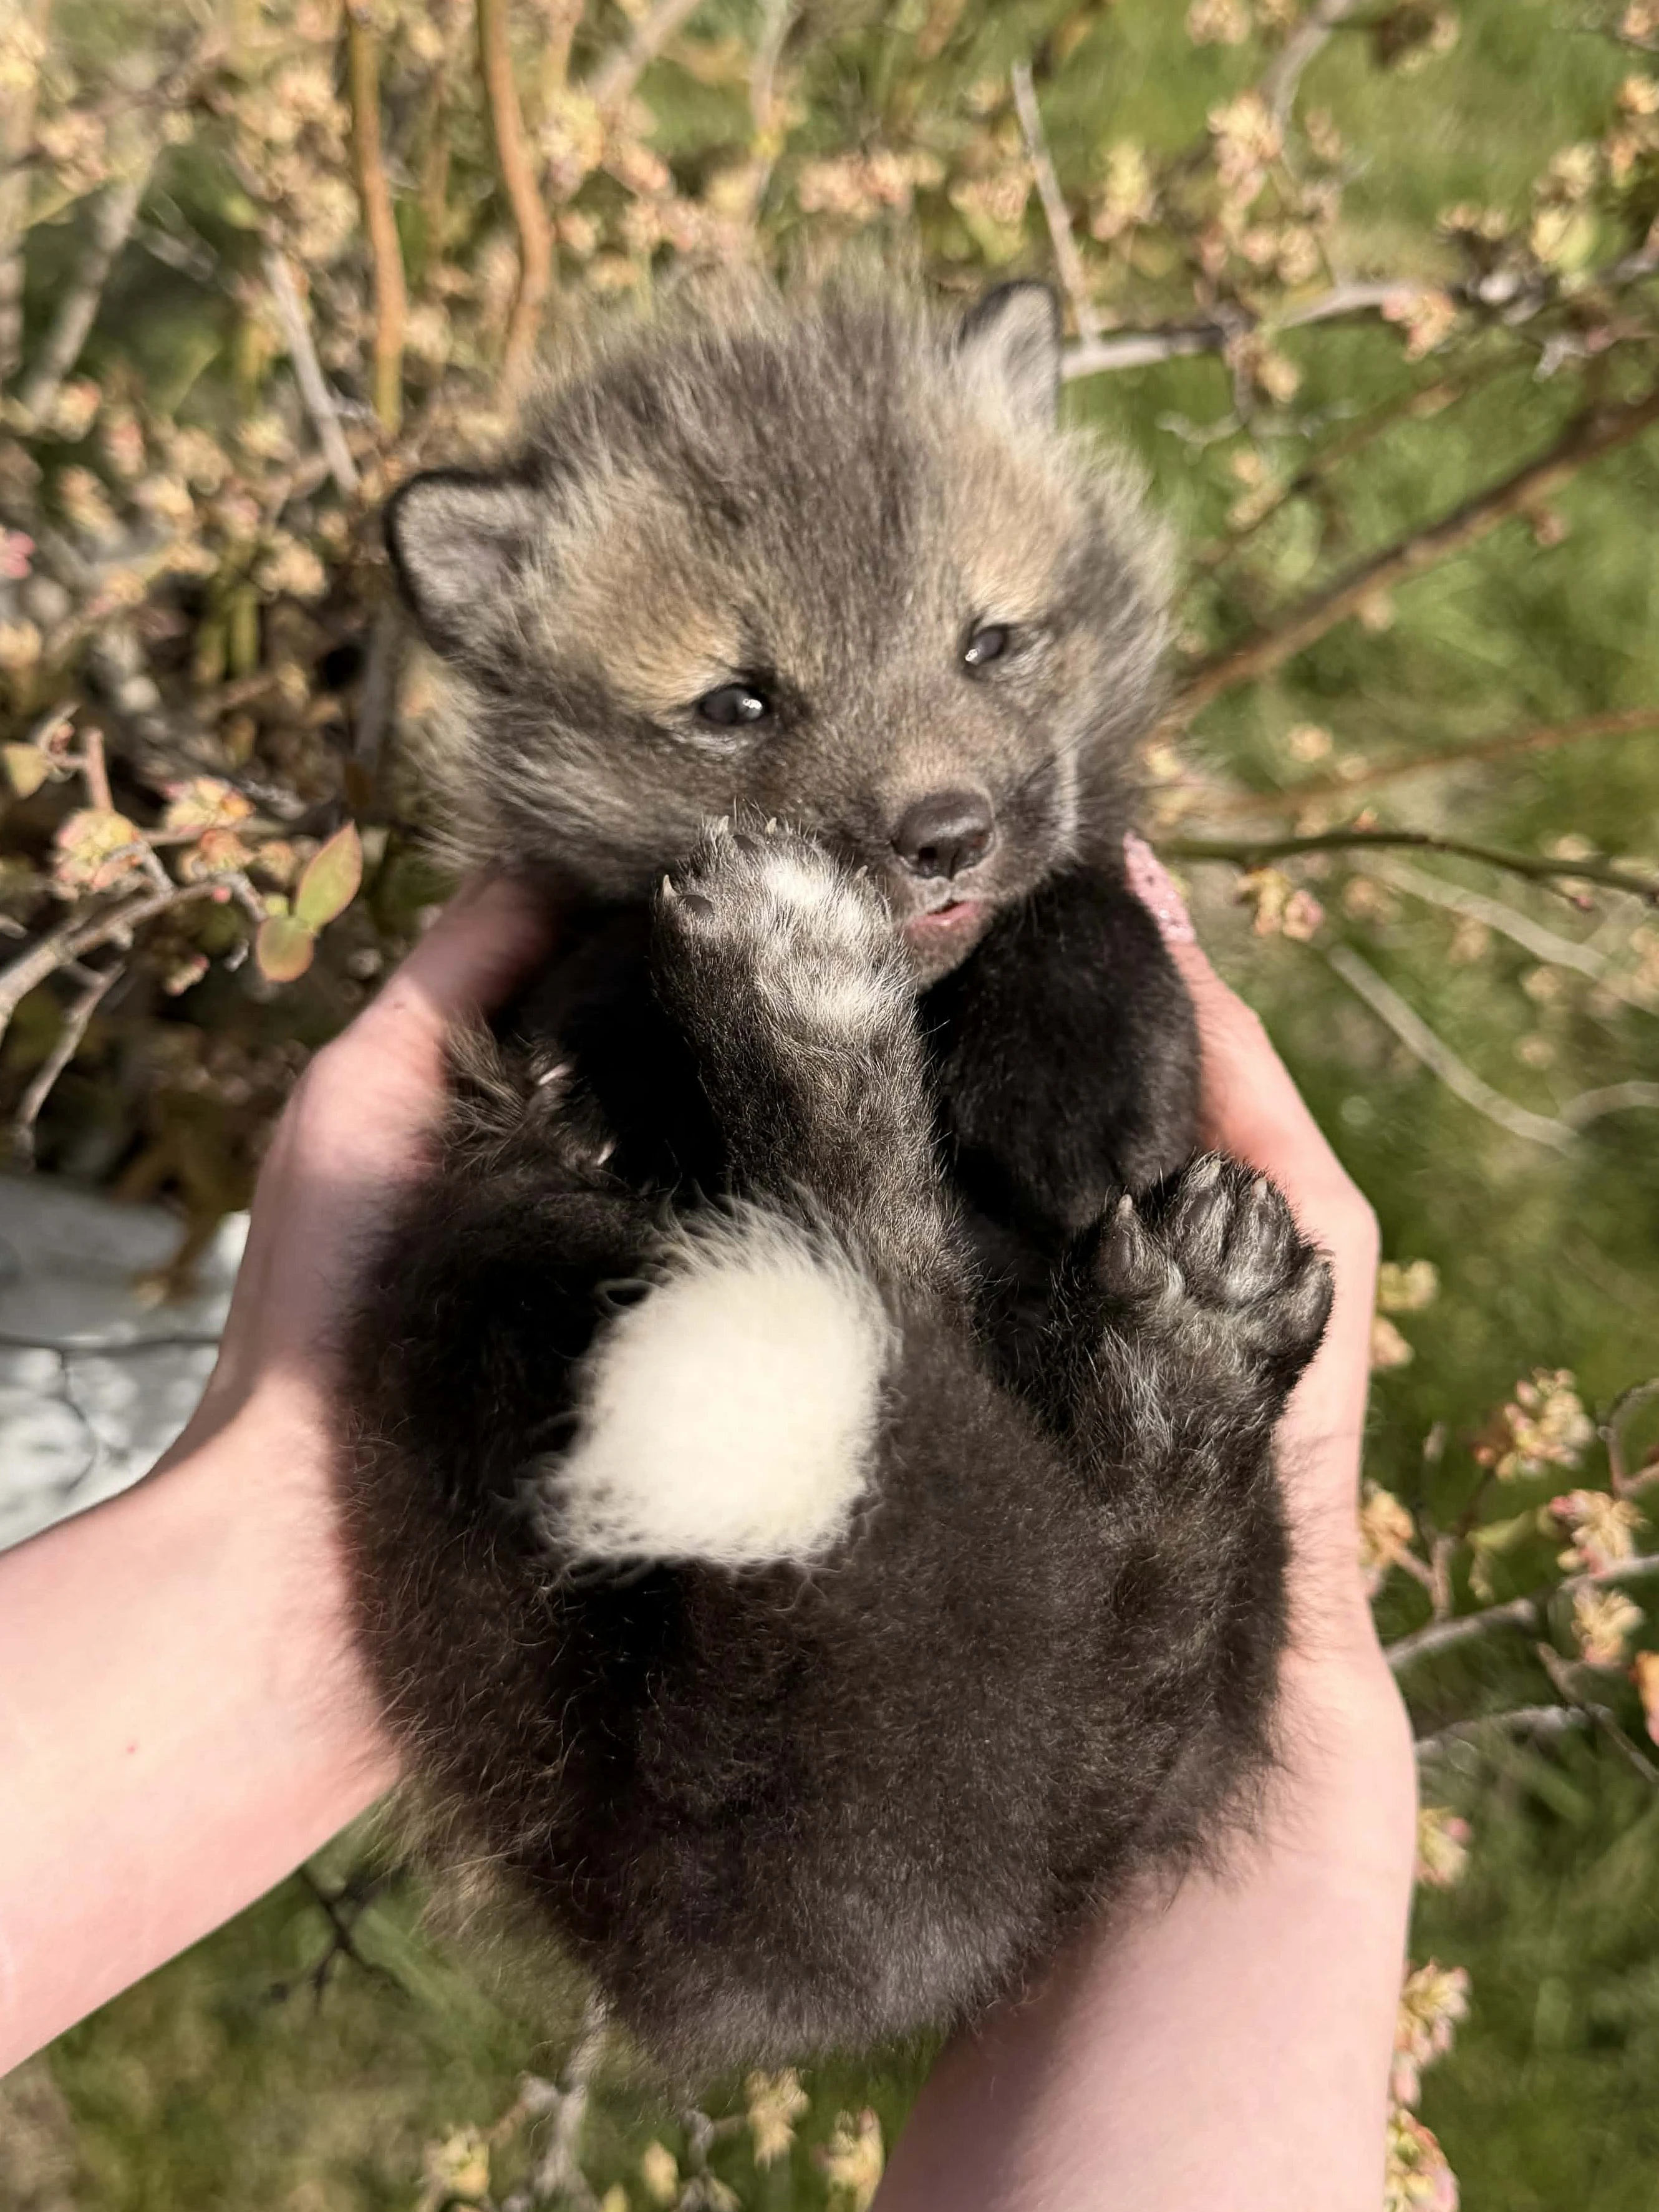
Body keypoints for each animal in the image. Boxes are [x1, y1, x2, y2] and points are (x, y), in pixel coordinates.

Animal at [339, 275, 1333, 2076]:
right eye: (737, 702)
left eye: (989, 641)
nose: (941, 833)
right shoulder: (552, 971)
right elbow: (605, 980)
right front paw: (641, 1054)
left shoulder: (1082, 880)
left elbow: (1089, 898)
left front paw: (1085, 1077)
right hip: (481, 1314)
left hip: (1195, 1650)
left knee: (1112, 1604)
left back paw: (1182, 1350)